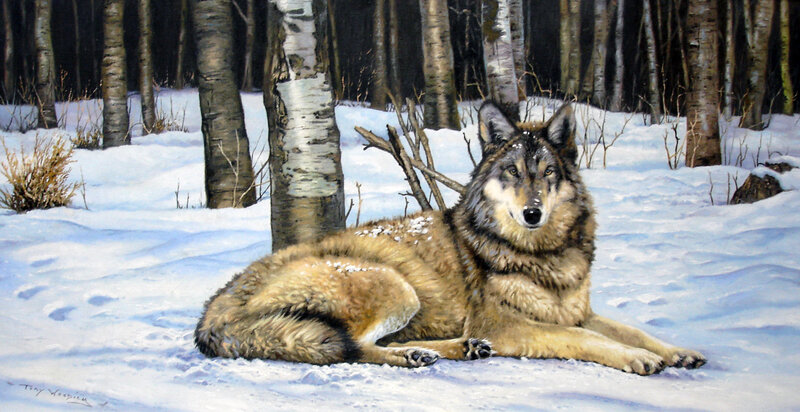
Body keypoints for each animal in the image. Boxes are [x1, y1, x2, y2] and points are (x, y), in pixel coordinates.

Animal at [195, 102, 706, 375]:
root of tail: (218, 304)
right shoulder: (507, 325)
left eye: (547, 173)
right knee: (353, 349)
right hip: (395, 286)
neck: (541, 255)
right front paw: (638, 359)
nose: (533, 212)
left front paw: (677, 351)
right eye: (512, 172)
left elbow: (632, 329)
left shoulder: (577, 311)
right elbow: (587, 340)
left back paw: (458, 349)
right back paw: (416, 355)